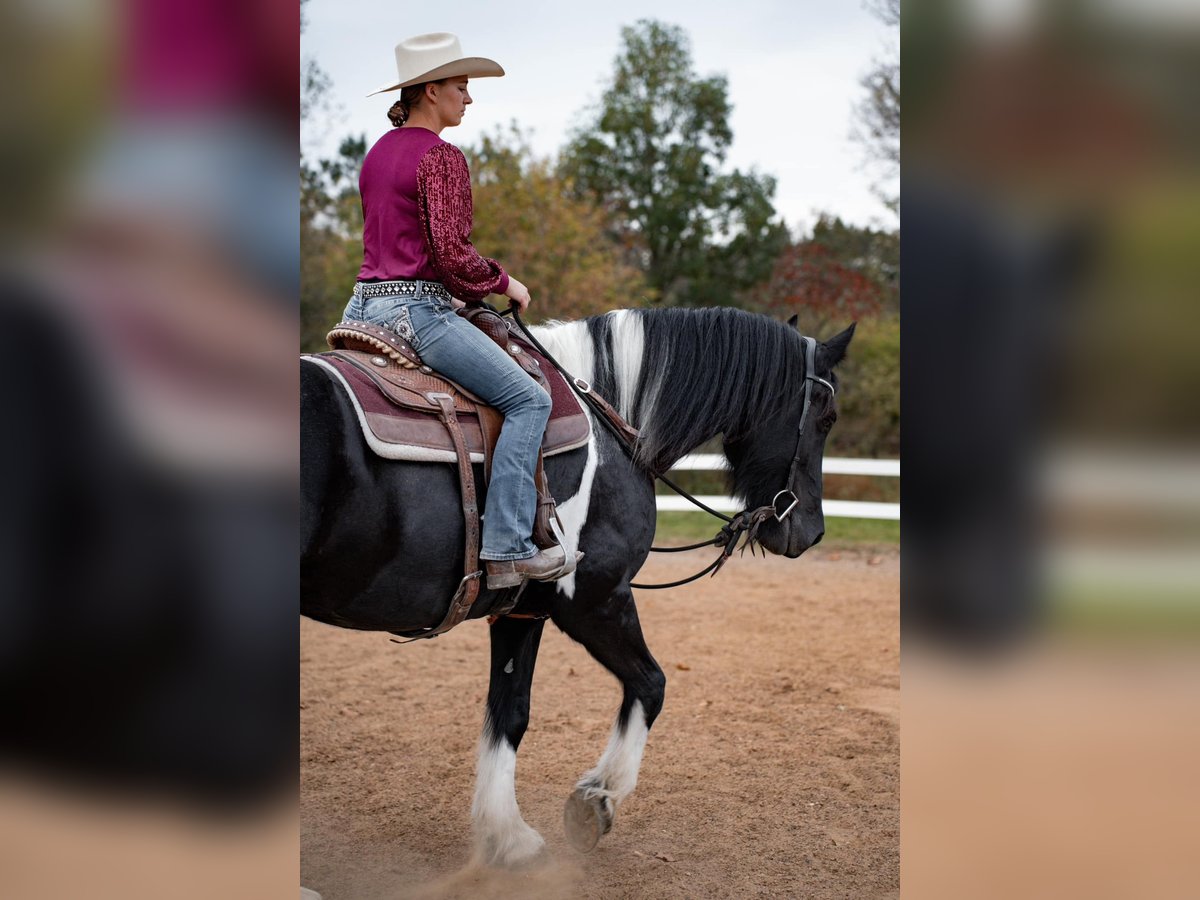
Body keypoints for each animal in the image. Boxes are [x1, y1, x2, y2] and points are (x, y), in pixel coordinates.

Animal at [304, 309, 859, 868]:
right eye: (827, 417)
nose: (812, 532)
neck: (608, 432)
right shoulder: (595, 599)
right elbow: (651, 685)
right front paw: (596, 798)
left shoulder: (520, 611)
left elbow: (509, 714)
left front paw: (507, 835)